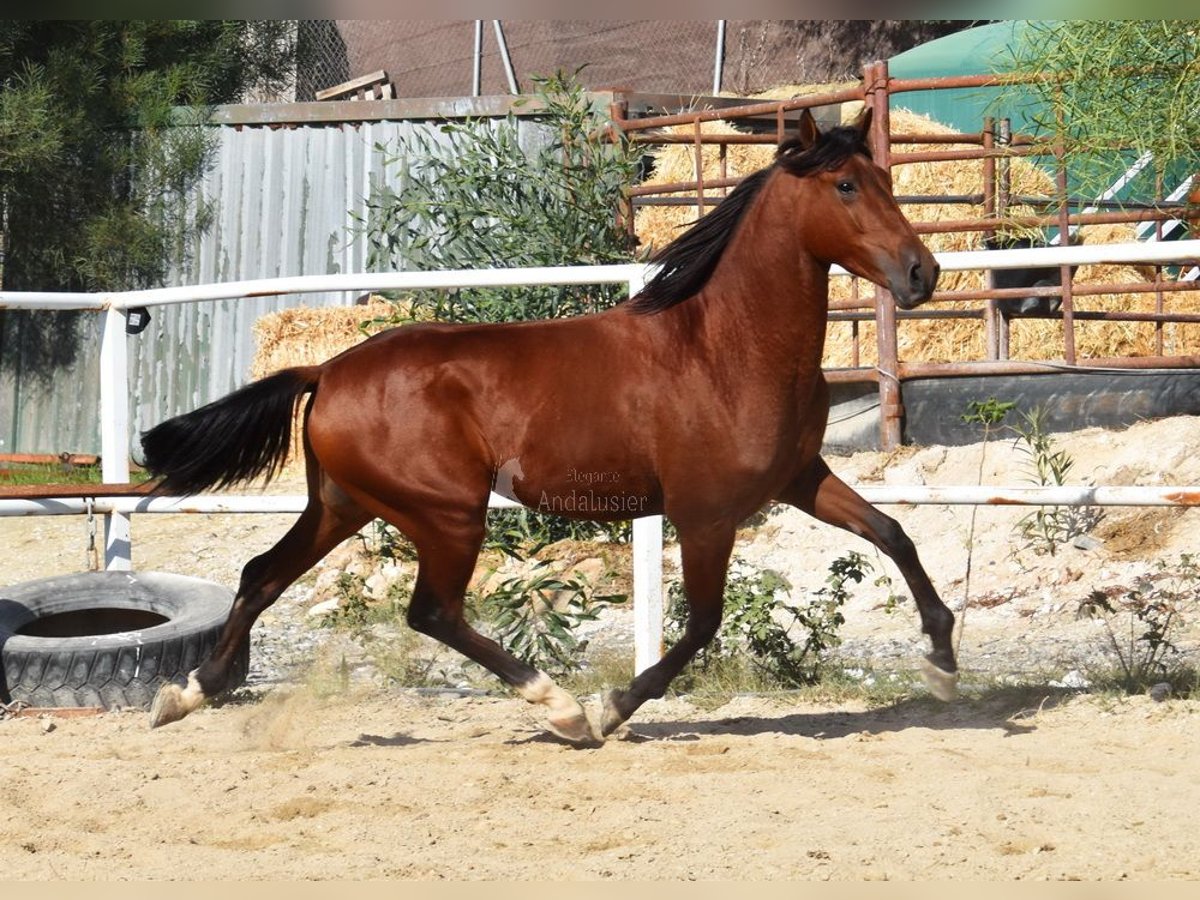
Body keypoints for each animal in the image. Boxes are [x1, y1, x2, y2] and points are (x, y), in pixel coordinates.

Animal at [140, 111, 955, 748]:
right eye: (845, 186)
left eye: (886, 181)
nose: (923, 274)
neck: (724, 347)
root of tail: (329, 369)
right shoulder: (705, 513)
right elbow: (702, 623)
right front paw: (610, 708)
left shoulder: (799, 477)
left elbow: (894, 535)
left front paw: (943, 661)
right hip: (447, 513)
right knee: (431, 611)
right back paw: (558, 707)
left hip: (344, 505)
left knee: (261, 574)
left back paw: (186, 693)